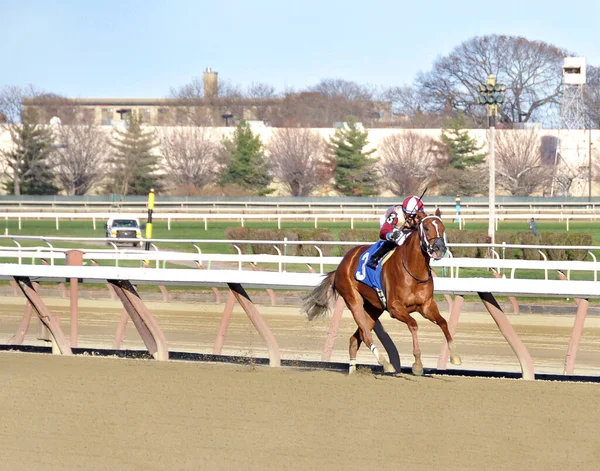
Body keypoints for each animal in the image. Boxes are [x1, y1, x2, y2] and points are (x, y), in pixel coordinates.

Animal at [302, 215, 462, 376]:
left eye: (443, 228)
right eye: (427, 228)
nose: (440, 249)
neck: (414, 271)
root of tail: (340, 266)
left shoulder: (426, 306)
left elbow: (443, 322)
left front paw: (454, 356)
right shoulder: (395, 308)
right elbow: (413, 324)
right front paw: (417, 364)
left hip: (373, 308)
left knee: (355, 338)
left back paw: (353, 370)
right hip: (353, 300)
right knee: (366, 336)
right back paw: (386, 363)